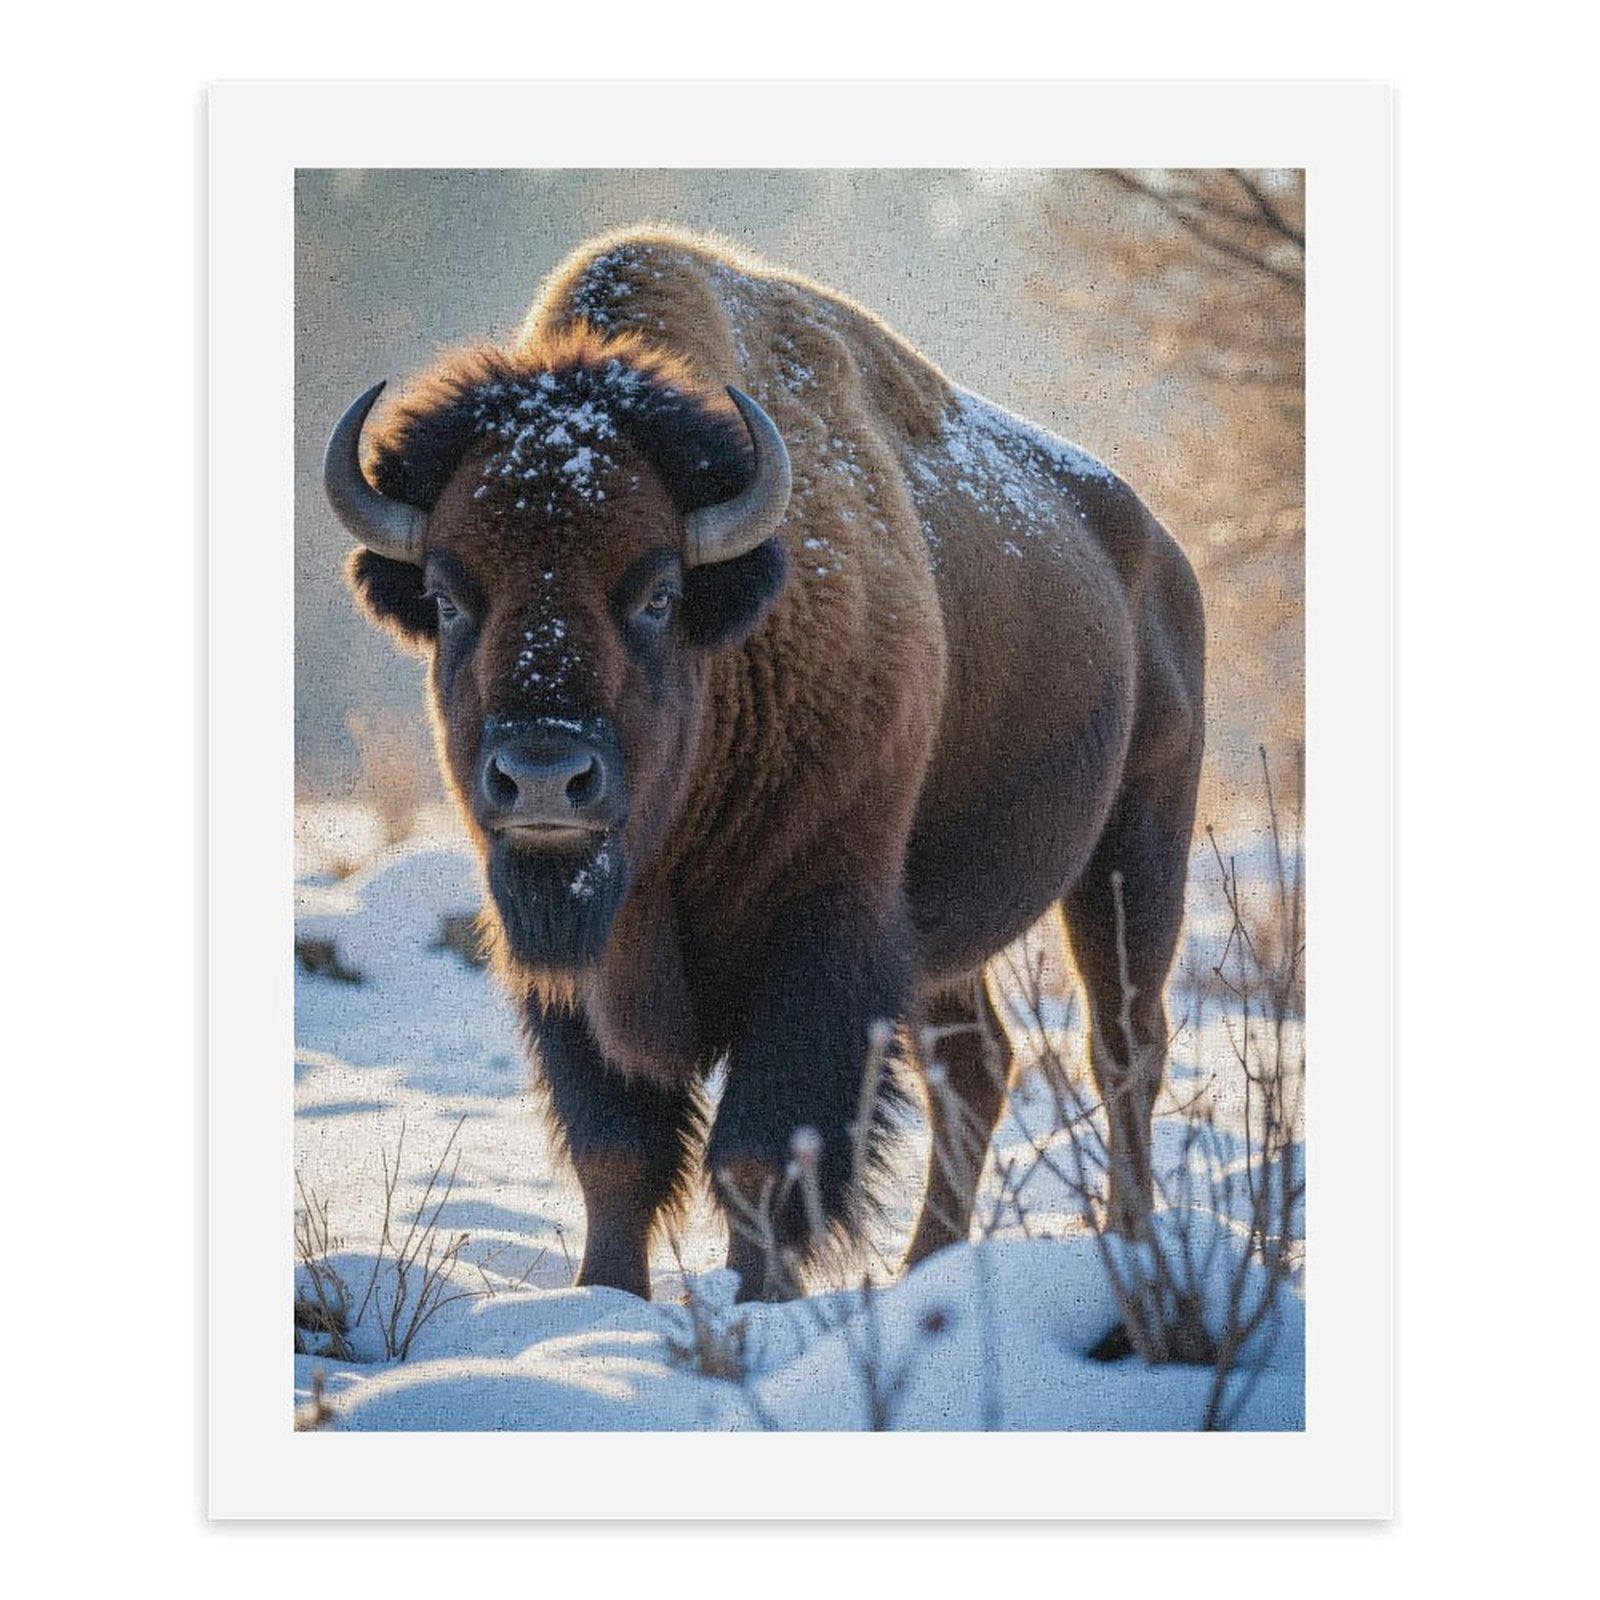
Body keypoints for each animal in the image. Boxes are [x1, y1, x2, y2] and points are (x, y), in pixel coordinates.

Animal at [325, 226, 1205, 1303]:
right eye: (450, 598)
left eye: (657, 592)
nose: (542, 776)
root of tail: (1161, 557)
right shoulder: (570, 965)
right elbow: (616, 1150)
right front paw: (604, 1299)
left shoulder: (822, 928)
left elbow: (760, 1150)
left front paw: (758, 1301)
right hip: (947, 932)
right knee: (978, 1065)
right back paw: (930, 1266)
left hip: (1134, 851)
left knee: (1122, 1044)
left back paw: (1131, 1244)